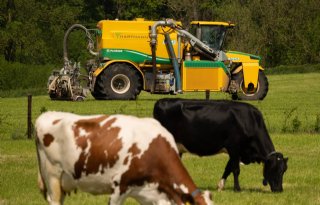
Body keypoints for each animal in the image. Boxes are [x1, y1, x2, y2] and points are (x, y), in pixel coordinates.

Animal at [154, 98, 288, 192]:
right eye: (274, 168)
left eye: (284, 170)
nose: (279, 190)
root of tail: (162, 101)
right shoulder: (234, 147)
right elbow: (236, 169)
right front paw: (237, 189)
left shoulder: (237, 151)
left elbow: (228, 168)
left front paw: (220, 186)